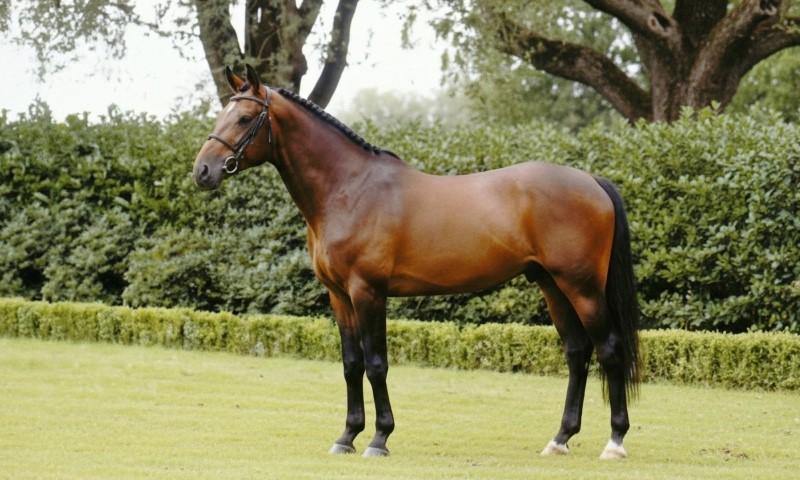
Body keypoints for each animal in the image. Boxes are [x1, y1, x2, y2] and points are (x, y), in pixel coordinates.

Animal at [193, 65, 641, 460]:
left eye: (245, 117)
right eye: (221, 114)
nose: (203, 171)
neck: (349, 189)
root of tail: (591, 181)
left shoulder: (368, 292)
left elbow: (376, 364)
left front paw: (379, 439)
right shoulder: (339, 295)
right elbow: (351, 364)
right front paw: (346, 436)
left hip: (582, 287)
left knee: (609, 349)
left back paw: (615, 442)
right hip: (551, 284)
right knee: (577, 353)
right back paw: (560, 439)